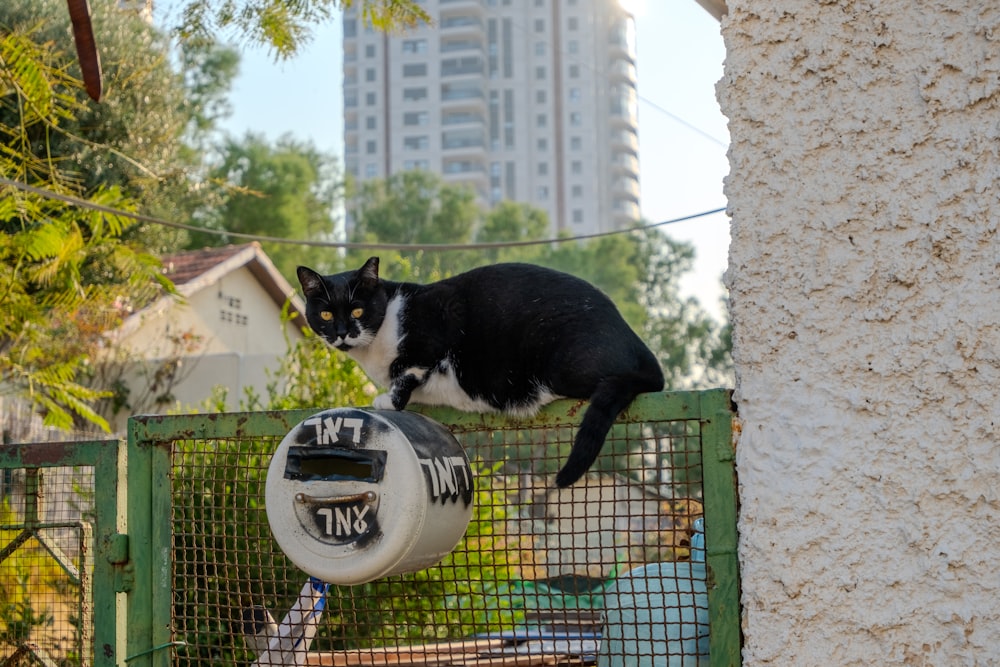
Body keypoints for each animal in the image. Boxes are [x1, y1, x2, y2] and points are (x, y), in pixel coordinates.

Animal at [296, 258, 664, 488]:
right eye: (325, 314)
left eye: (358, 310)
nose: (342, 332)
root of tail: (638, 343)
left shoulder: (434, 328)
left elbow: (409, 370)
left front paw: (389, 400)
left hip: (566, 363)